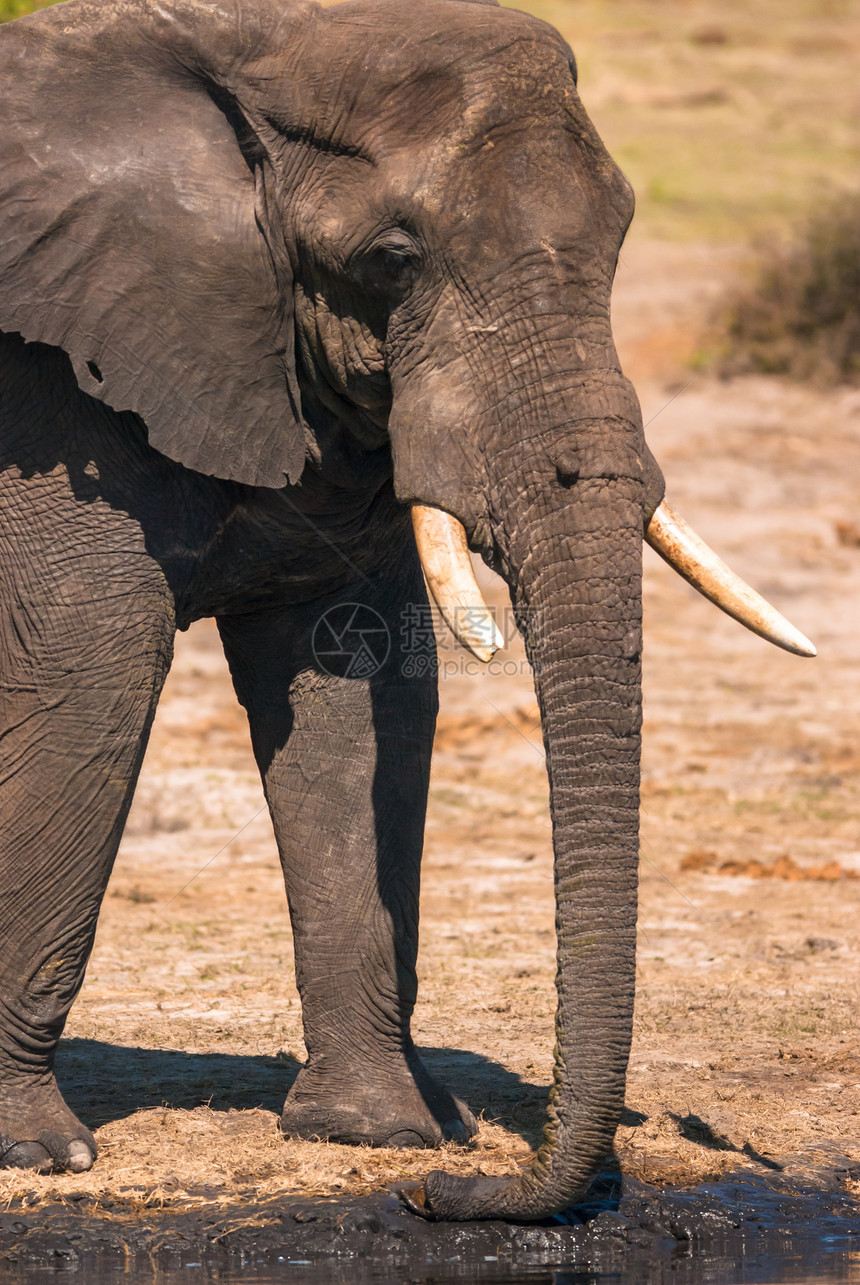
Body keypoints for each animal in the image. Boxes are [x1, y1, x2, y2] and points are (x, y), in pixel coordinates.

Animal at [0, 0, 812, 1218]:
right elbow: (89, 678)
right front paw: (37, 1153)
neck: (252, 45)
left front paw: (379, 1134)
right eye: (391, 258)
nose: (449, 1192)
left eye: (622, 235)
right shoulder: (57, 395)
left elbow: (355, 688)